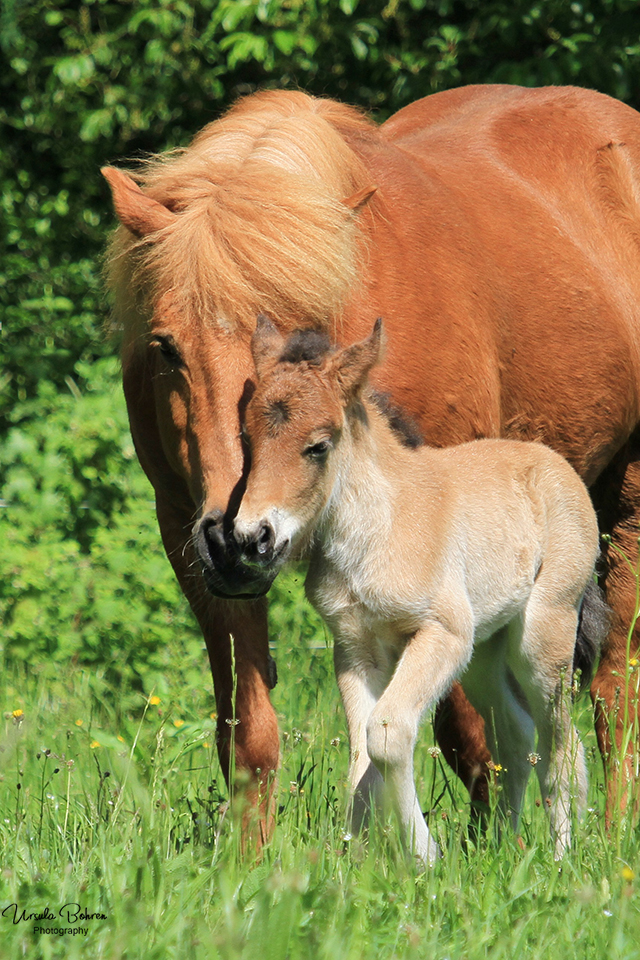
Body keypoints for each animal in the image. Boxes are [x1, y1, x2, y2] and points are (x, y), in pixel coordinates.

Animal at [235, 318, 604, 868]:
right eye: (247, 438)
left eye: (319, 445)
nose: (252, 537)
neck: (379, 529)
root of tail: (555, 464)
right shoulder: (355, 650)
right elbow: (360, 758)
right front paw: (355, 863)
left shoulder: (440, 634)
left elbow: (387, 735)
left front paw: (425, 857)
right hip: (482, 654)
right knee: (516, 736)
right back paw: (500, 847)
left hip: (540, 641)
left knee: (562, 742)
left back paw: (561, 858)